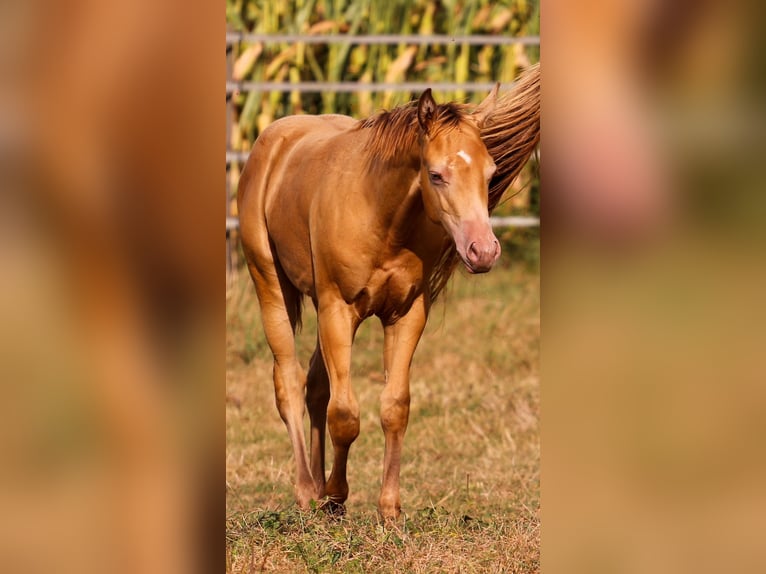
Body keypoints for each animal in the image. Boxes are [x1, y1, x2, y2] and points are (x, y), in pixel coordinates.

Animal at [237, 64, 544, 520]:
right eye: (436, 174)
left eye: (491, 174)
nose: (484, 251)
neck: (382, 214)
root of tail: (271, 140)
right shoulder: (338, 309)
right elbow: (345, 414)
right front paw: (337, 493)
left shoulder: (407, 313)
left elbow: (394, 406)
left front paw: (389, 510)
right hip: (273, 287)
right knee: (289, 384)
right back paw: (308, 492)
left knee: (315, 385)